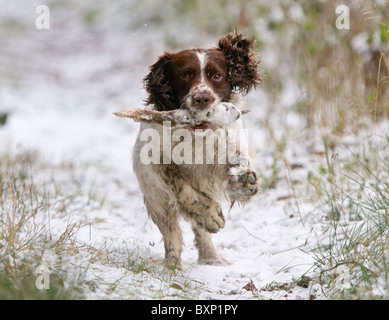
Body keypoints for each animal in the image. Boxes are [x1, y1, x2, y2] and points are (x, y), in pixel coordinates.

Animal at [133, 31, 260, 270]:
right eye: (185, 75)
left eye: (217, 76)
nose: (202, 98)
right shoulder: (157, 162)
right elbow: (183, 187)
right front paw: (211, 215)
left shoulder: (229, 150)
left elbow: (238, 164)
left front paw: (244, 182)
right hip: (156, 199)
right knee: (172, 231)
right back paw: (172, 264)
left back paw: (211, 257)